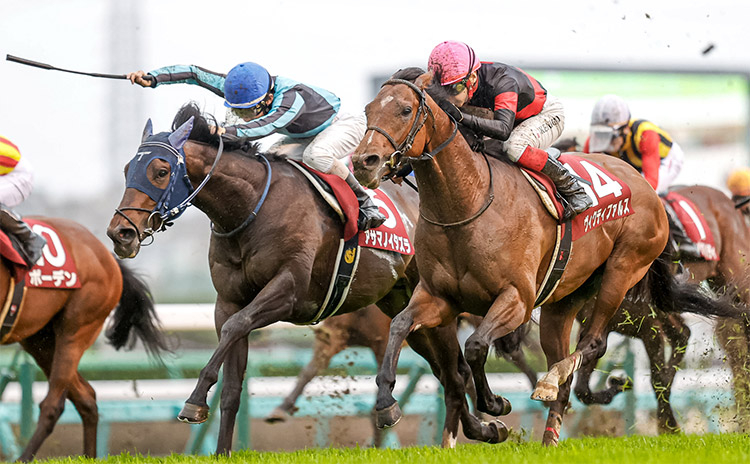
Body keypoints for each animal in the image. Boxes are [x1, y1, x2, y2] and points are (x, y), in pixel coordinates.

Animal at [0, 216, 165, 461]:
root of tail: (108, 257)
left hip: (76, 329)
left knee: (54, 405)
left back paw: (24, 458)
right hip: (40, 341)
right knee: (86, 397)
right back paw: (88, 456)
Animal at [106, 102, 508, 454]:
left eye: (160, 170)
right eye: (126, 170)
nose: (120, 233)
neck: (251, 208)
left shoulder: (289, 292)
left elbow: (237, 327)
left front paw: (193, 400)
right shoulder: (229, 302)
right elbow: (233, 382)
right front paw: (220, 449)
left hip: (431, 301)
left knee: (455, 373)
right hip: (402, 307)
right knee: (448, 372)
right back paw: (485, 428)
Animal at [574, 184, 750, 433]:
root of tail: (729, 202)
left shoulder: (649, 326)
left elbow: (657, 378)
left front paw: (669, 427)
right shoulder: (599, 326)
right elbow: (582, 389)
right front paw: (618, 385)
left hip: (735, 276)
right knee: (683, 334)